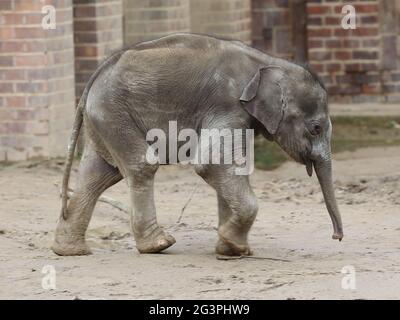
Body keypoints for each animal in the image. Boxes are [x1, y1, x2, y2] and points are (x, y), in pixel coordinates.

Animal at [51, 33, 342, 258]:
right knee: (141, 166)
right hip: (114, 113)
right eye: (316, 128)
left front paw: (232, 250)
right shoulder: (227, 104)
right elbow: (213, 162)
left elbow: (233, 166)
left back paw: (70, 251)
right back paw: (159, 245)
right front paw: (232, 244)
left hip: (104, 120)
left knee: (98, 174)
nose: (336, 237)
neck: (268, 62)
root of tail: (93, 78)